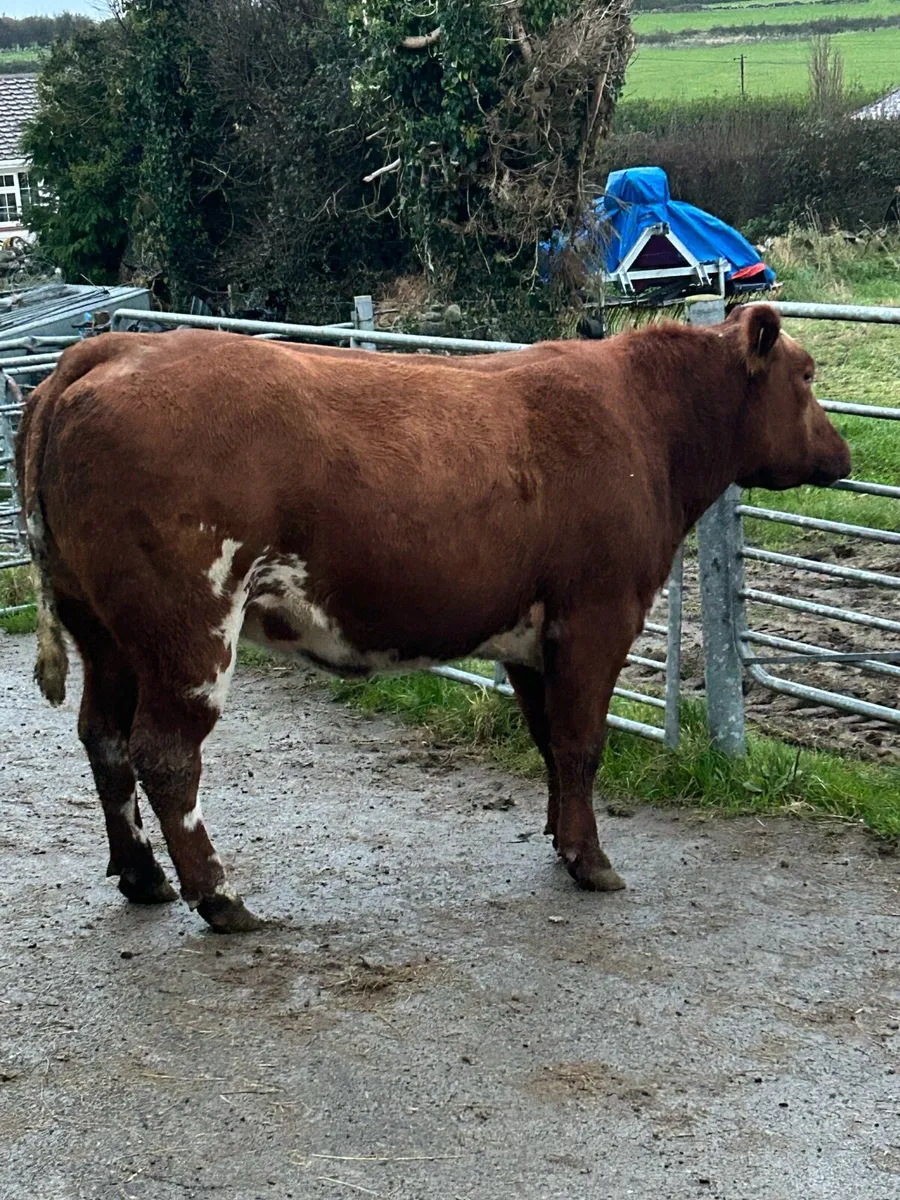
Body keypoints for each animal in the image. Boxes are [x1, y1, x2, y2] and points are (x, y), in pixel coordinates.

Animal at [15, 305, 851, 933]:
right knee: (164, 754)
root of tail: (108, 348)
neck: (646, 419)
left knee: (104, 737)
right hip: (188, 628)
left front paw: (561, 841)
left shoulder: (530, 637)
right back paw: (219, 897)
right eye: (807, 375)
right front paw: (592, 862)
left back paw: (142, 876)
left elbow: (550, 744)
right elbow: (581, 744)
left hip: (106, 632)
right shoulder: (596, 614)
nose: (842, 455)